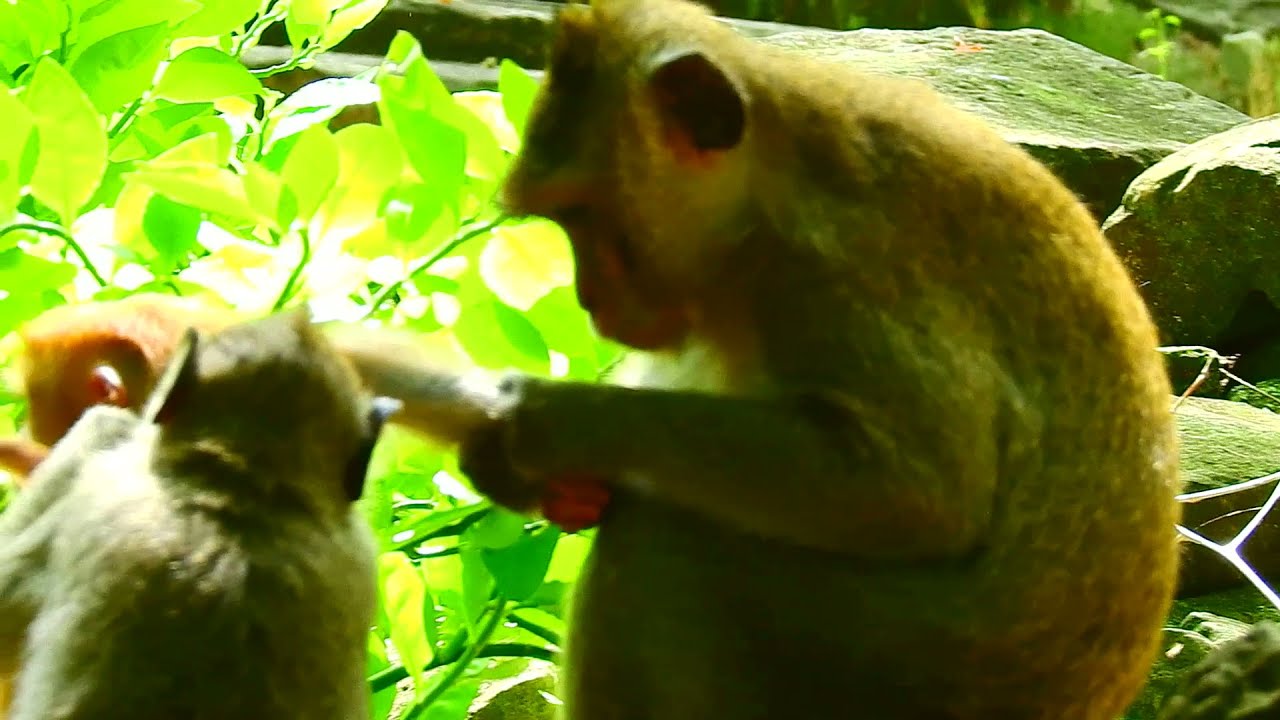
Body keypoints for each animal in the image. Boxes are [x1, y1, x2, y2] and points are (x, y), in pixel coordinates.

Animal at [330, 0, 1184, 717]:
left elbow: (918, 490)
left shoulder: (838, 264)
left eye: (586, 217)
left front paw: (536, 424)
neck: (769, 184)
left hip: (902, 673)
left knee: (665, 538)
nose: (587, 299)